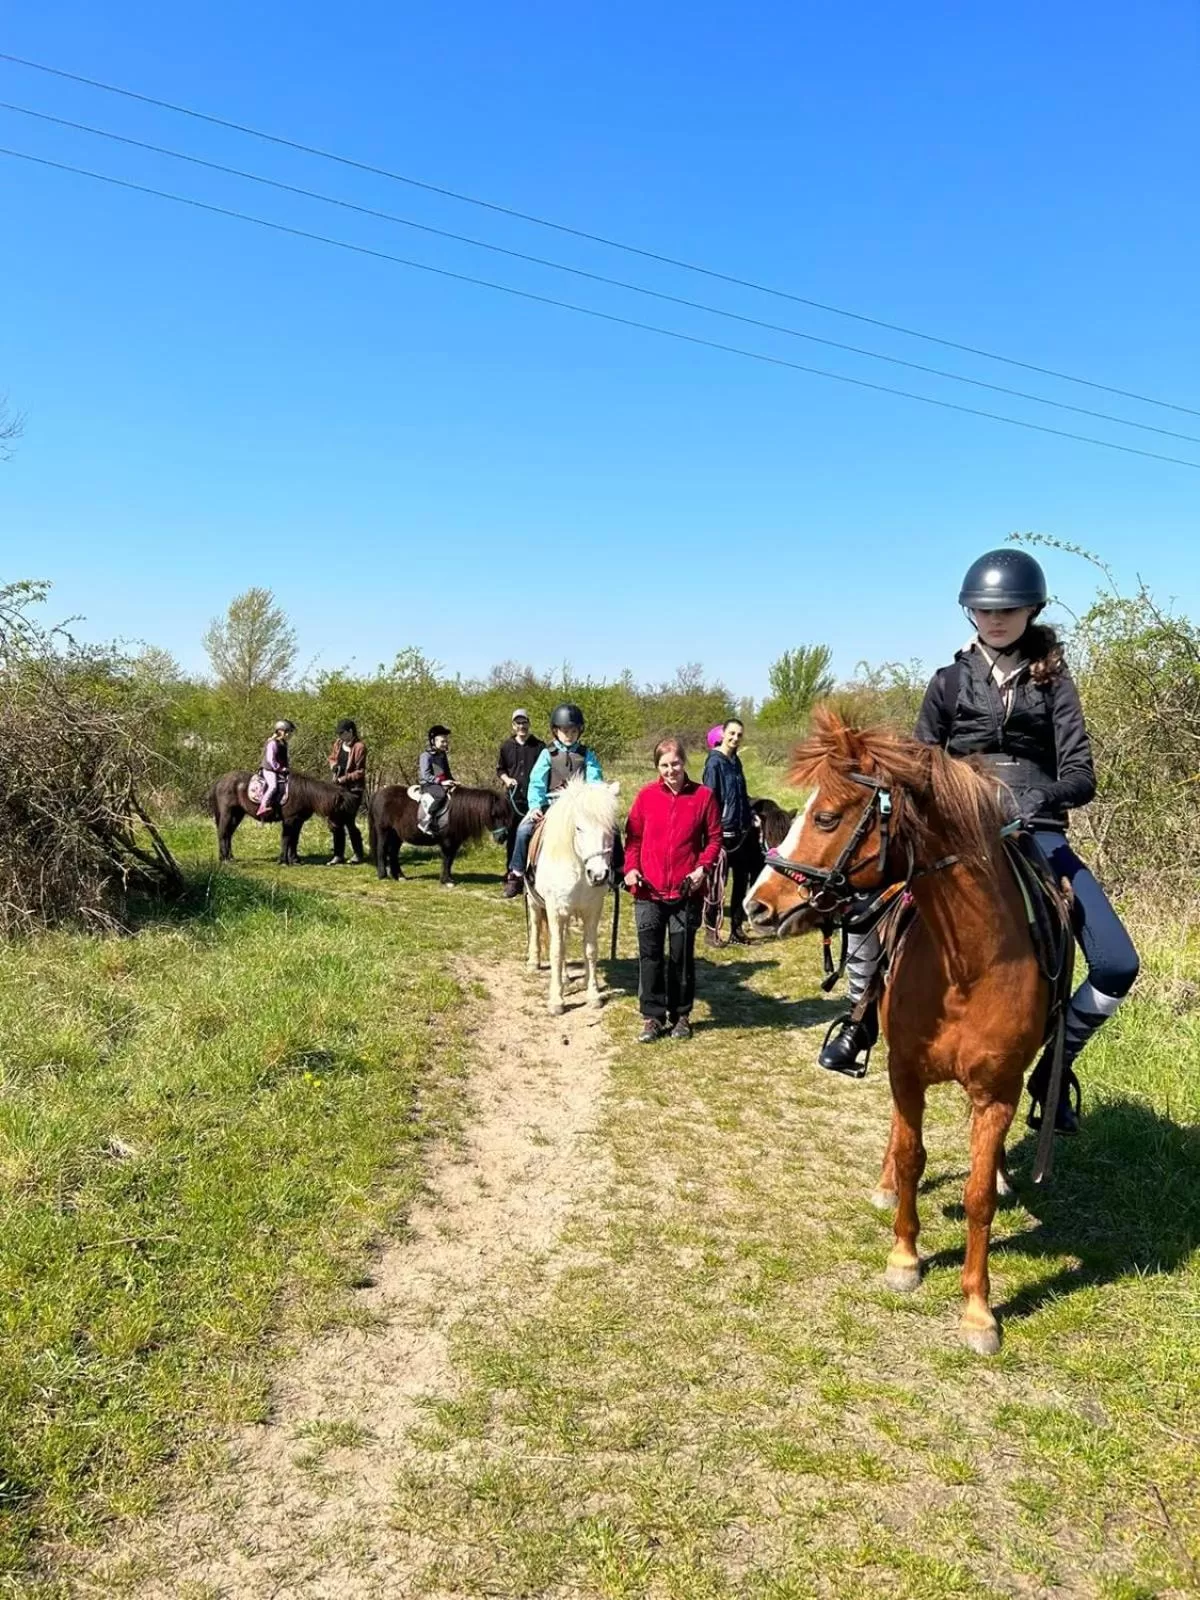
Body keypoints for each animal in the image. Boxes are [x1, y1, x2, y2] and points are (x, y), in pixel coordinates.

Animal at [209, 771, 362, 866]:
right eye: (341, 809)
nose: (335, 827)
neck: (305, 794)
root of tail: (220, 781)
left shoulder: (298, 821)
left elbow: (294, 840)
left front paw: (294, 859)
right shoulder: (289, 820)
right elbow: (286, 839)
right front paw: (283, 860)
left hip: (237, 814)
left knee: (228, 834)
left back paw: (229, 857)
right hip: (228, 813)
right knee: (223, 833)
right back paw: (225, 859)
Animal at [369, 784, 509, 887]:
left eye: (505, 814)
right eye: (494, 814)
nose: (502, 837)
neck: (456, 812)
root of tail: (378, 793)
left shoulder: (455, 842)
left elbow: (450, 860)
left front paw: (449, 879)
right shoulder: (447, 842)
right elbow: (446, 859)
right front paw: (446, 881)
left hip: (396, 836)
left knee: (393, 853)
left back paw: (399, 876)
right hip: (384, 831)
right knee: (381, 850)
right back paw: (383, 875)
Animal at [524, 777, 620, 1015]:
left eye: (610, 828)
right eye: (579, 828)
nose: (598, 874)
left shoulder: (592, 910)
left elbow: (590, 950)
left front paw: (593, 994)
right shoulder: (555, 910)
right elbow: (556, 951)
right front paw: (556, 1000)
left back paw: (566, 977)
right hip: (534, 901)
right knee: (537, 925)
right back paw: (533, 962)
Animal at [743, 707, 1047, 1356]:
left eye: (826, 816)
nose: (757, 905)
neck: (967, 964)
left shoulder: (997, 1090)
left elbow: (978, 1196)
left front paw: (979, 1313)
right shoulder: (905, 1070)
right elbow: (911, 1159)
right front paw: (905, 1258)